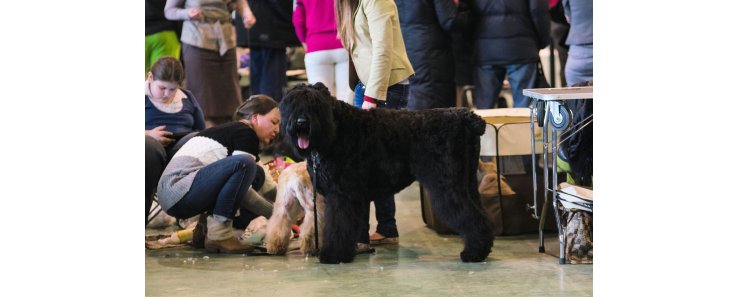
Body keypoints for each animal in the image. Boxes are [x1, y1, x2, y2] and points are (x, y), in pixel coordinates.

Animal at [280, 82, 494, 262]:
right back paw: (482, 249)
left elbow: (338, 225)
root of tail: (468, 118)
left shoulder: (342, 195)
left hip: (449, 186)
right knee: (482, 215)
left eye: (315, 104)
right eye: (291, 104)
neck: (335, 130)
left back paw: (473, 253)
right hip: (467, 182)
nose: (301, 122)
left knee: (471, 217)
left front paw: (333, 254)